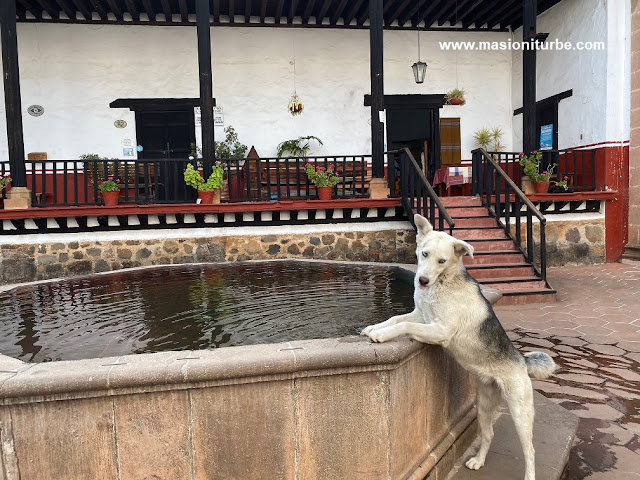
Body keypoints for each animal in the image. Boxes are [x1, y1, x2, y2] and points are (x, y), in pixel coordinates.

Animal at [362, 215, 556, 480]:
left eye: (442, 261)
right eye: (424, 254)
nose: (422, 280)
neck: (443, 282)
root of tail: (521, 359)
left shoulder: (439, 329)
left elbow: (403, 326)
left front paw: (380, 335)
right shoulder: (421, 316)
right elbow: (395, 319)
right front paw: (373, 327)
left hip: (520, 412)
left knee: (531, 450)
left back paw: (528, 474)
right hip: (483, 406)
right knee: (488, 434)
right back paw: (478, 461)